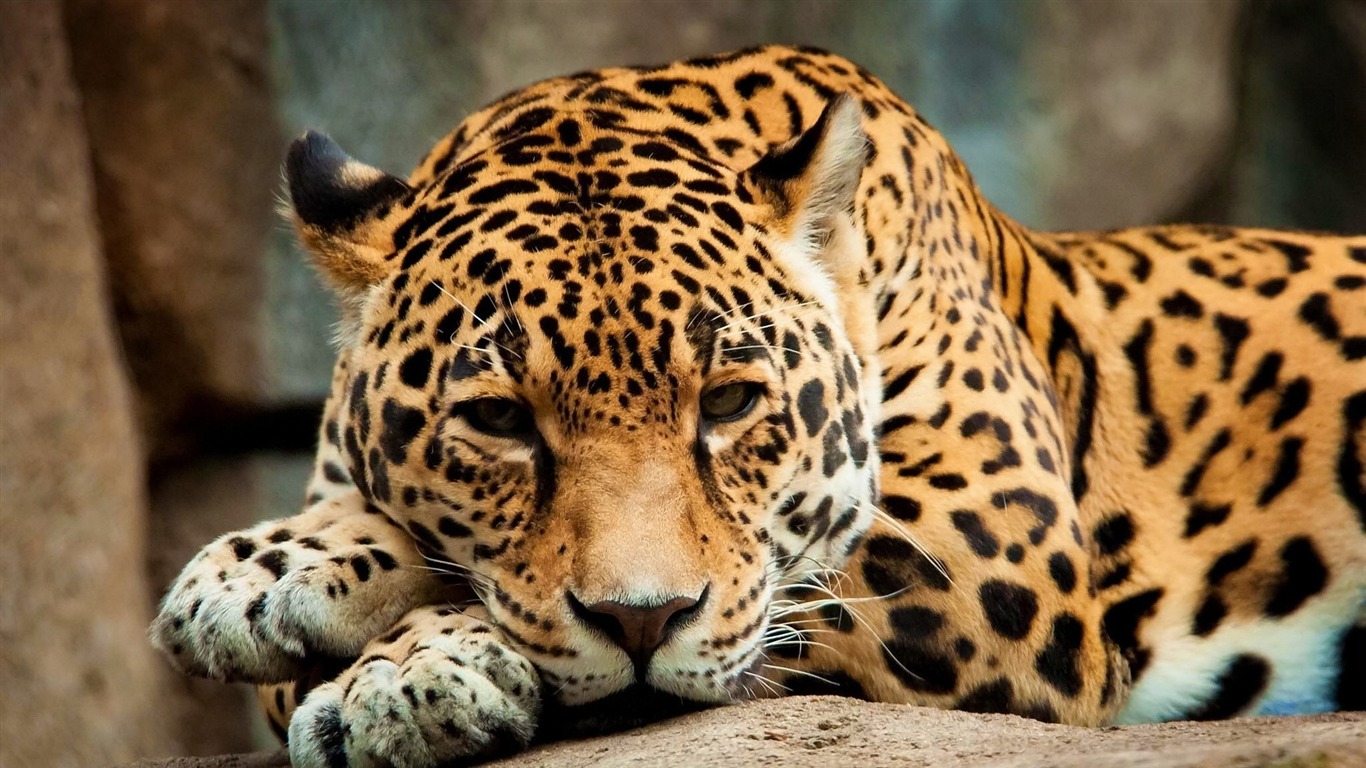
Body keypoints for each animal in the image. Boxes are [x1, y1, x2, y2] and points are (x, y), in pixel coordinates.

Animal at [151, 45, 1366, 767]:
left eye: (731, 403)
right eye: (498, 422)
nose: (642, 621)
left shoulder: (992, 543)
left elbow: (776, 592)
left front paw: (401, 668)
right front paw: (278, 574)